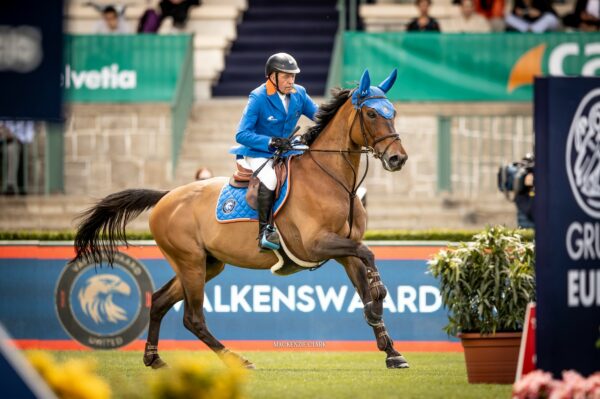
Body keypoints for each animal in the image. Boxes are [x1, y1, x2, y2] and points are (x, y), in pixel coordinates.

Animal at [69, 69, 408, 372]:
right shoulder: (317, 244)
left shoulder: (345, 250)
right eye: (372, 114)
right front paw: (378, 303)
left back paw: (153, 358)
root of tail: (168, 195)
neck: (333, 180)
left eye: (392, 112)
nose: (398, 159)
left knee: (161, 301)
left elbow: (365, 280)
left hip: (206, 264)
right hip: (191, 263)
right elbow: (369, 256)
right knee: (192, 318)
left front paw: (390, 350)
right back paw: (237, 359)